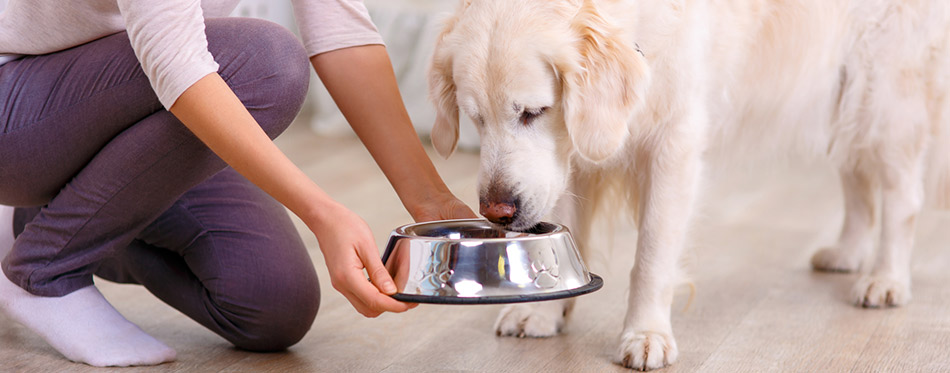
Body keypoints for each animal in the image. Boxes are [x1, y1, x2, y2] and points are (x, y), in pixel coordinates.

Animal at [426, 0, 950, 370]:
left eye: (534, 112)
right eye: (475, 118)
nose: (497, 211)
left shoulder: (672, 143)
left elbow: (652, 257)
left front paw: (646, 335)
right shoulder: (568, 159)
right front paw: (542, 312)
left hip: (883, 96)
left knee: (902, 196)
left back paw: (886, 279)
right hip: (840, 99)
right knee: (857, 181)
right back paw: (847, 253)